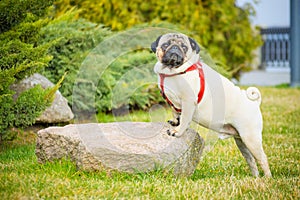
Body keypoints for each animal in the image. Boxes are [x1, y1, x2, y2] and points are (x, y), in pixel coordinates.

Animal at [151, 32, 270, 177]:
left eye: (184, 47)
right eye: (166, 44)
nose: (174, 48)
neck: (172, 71)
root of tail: (254, 103)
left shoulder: (188, 100)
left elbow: (184, 119)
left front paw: (177, 131)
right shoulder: (174, 102)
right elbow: (176, 112)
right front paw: (175, 122)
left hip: (250, 138)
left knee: (263, 159)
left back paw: (267, 178)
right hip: (241, 142)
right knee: (251, 160)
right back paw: (255, 177)